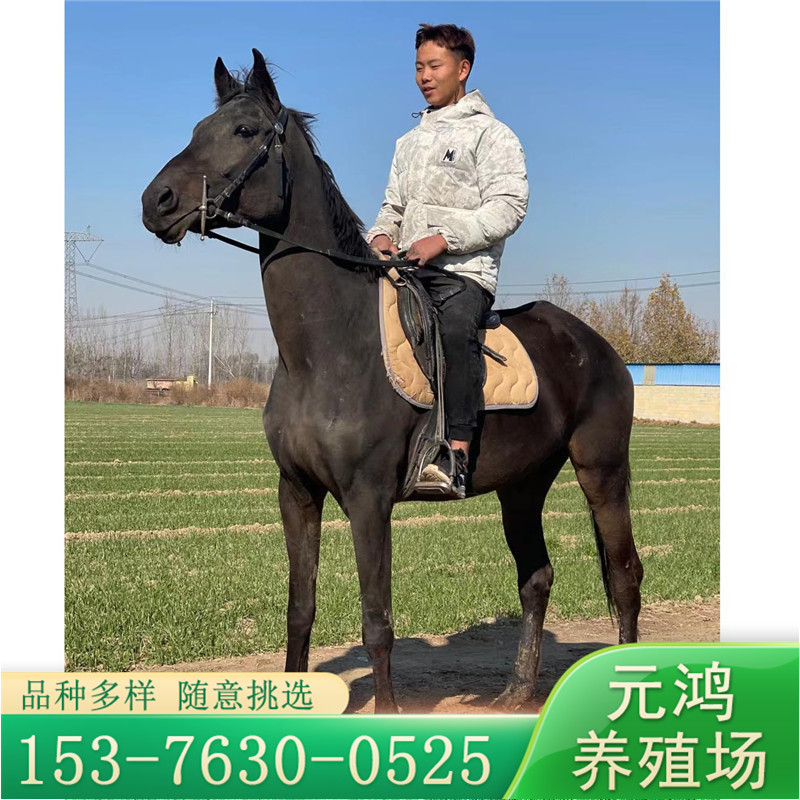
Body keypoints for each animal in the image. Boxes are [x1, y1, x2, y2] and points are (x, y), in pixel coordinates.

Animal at [141, 49, 643, 712]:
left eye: (245, 131)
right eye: (200, 128)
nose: (156, 201)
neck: (327, 352)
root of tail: (599, 347)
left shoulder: (368, 499)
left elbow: (377, 621)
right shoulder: (296, 493)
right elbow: (300, 610)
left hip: (601, 471)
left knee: (625, 575)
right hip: (522, 485)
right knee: (537, 577)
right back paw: (516, 693)